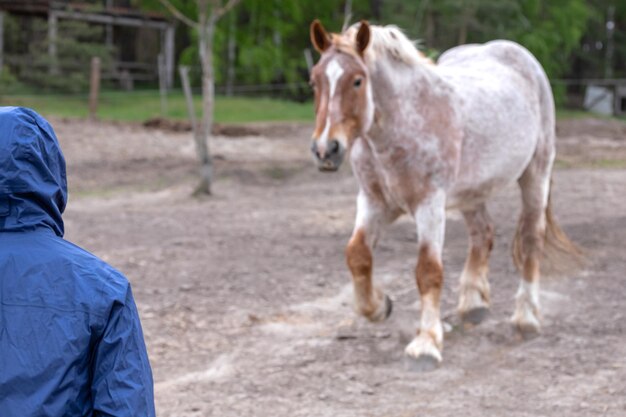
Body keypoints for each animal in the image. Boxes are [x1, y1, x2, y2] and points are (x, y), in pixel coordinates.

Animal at [308, 21, 580, 368]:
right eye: (314, 80)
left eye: (357, 80)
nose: (325, 150)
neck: (398, 130)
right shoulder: (373, 201)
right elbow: (357, 255)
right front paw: (379, 307)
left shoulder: (430, 205)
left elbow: (428, 271)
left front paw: (426, 343)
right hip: (472, 192)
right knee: (483, 234)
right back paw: (473, 305)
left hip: (536, 173)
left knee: (532, 238)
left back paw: (527, 319)